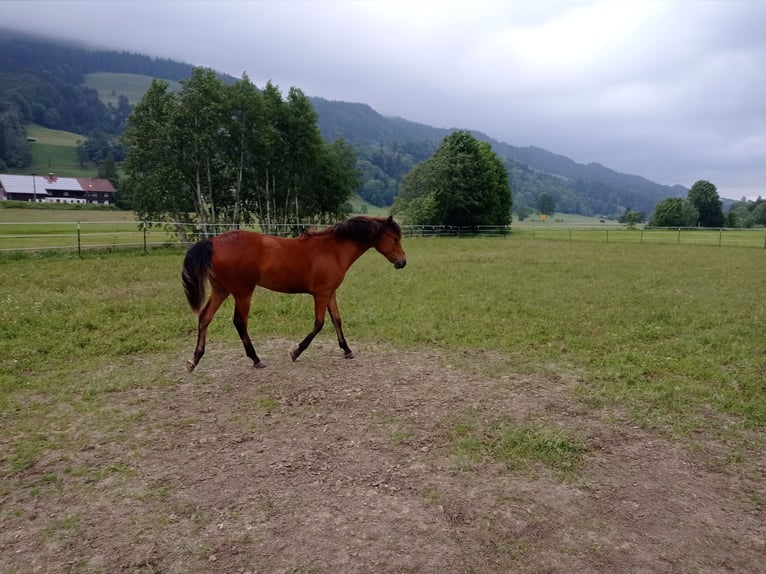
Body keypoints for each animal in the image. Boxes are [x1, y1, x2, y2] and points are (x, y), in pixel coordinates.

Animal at [181, 216, 408, 374]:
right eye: (395, 238)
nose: (402, 262)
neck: (333, 249)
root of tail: (212, 242)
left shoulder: (330, 293)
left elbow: (337, 320)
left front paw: (347, 350)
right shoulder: (321, 294)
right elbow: (319, 324)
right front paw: (296, 352)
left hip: (221, 290)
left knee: (204, 317)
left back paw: (194, 360)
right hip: (243, 292)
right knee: (239, 321)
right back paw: (256, 359)